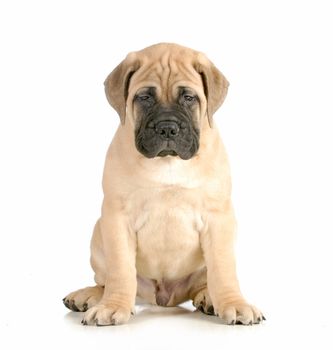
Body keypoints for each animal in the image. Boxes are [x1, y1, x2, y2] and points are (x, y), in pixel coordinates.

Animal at [63, 43, 264, 326]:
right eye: (145, 97)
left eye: (189, 98)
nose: (167, 128)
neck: (168, 162)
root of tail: (164, 297)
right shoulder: (117, 218)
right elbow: (121, 270)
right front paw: (112, 306)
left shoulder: (218, 218)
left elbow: (223, 269)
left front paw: (234, 304)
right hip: (98, 234)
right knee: (107, 280)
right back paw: (90, 295)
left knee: (205, 281)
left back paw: (208, 298)